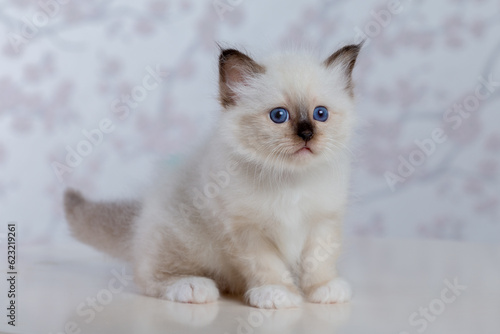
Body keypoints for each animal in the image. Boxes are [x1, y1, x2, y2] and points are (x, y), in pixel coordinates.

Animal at [64, 43, 362, 310]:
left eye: (320, 114)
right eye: (279, 116)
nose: (307, 134)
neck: (290, 181)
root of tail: (140, 217)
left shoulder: (322, 223)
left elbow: (318, 262)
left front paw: (324, 289)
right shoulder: (246, 231)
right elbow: (268, 267)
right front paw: (277, 294)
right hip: (179, 239)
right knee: (150, 277)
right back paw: (193, 287)